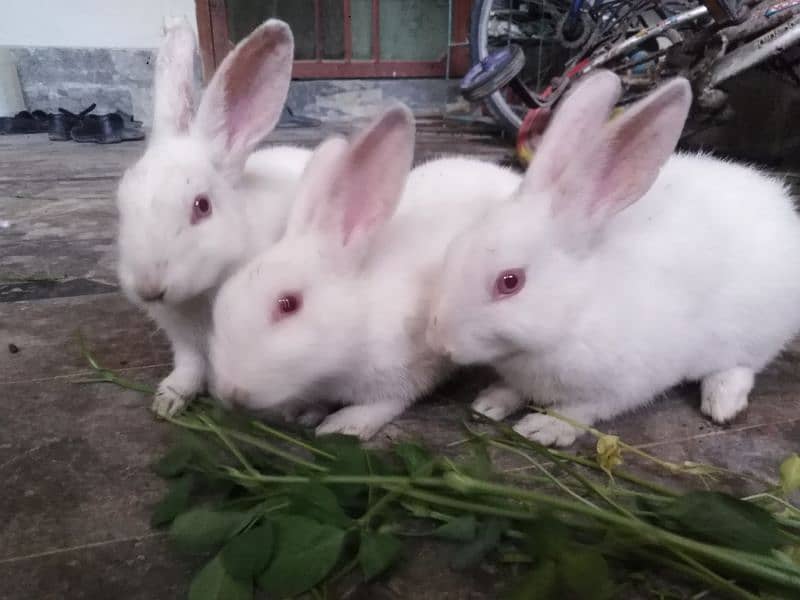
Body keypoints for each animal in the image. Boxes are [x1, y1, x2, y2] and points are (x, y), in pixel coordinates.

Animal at [117, 18, 310, 414]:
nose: (148, 287)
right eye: (122, 197)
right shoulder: (183, 339)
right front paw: (168, 401)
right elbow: (190, 366)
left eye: (202, 206)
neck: (201, 292)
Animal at [206, 103, 520, 438]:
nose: (231, 392)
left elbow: (389, 402)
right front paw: (302, 412)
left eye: (288, 304)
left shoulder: (409, 368)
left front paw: (345, 424)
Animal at [428, 70, 800, 446]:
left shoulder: (622, 386)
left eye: (509, 282)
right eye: (456, 247)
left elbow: (579, 411)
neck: (578, 309)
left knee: (740, 367)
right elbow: (512, 390)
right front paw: (490, 402)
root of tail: (779, 203)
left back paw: (721, 403)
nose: (440, 343)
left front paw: (543, 428)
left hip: (752, 333)